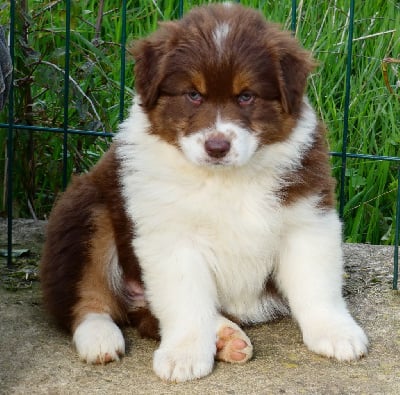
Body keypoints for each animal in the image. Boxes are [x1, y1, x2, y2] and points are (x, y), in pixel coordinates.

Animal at [40, 1, 368, 382]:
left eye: (246, 96)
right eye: (193, 95)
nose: (217, 146)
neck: (225, 179)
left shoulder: (307, 216)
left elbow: (316, 284)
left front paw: (337, 333)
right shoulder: (171, 237)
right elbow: (186, 301)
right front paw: (183, 356)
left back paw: (225, 337)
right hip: (87, 209)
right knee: (86, 298)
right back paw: (101, 338)